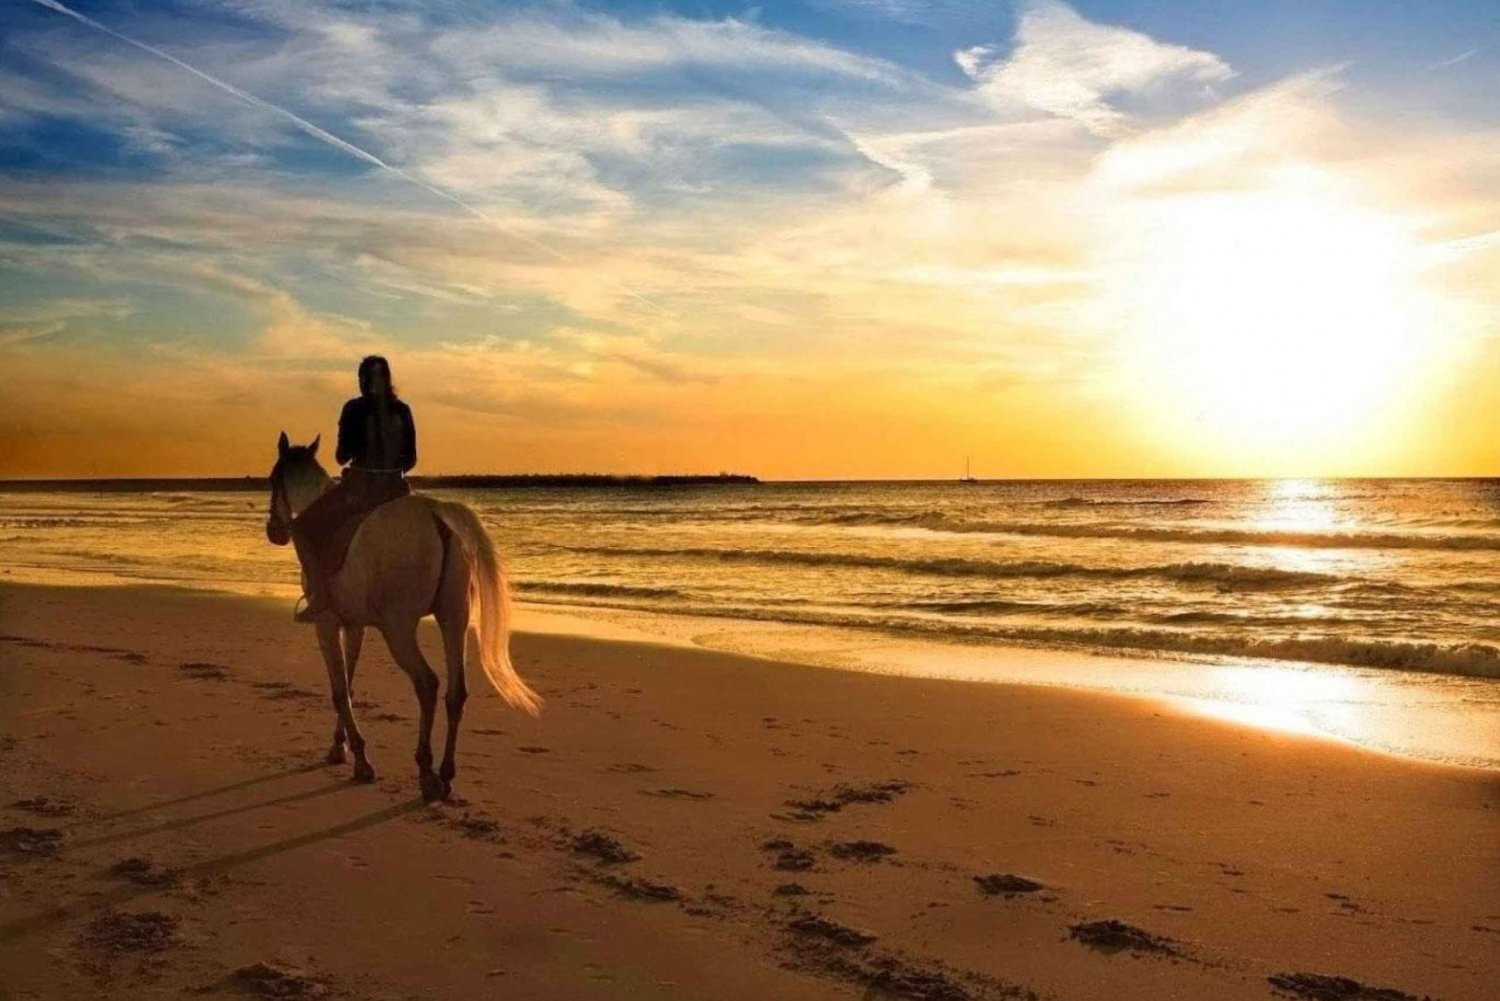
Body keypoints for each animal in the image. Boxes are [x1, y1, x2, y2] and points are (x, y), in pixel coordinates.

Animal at [267, 429, 543, 798]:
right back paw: (446, 773)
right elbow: (348, 685)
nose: (274, 531)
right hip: (453, 619)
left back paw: (426, 771)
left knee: (427, 683)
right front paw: (340, 747)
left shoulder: (326, 625)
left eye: (272, 479)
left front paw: (360, 760)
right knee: (456, 691)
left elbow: (339, 690)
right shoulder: (354, 626)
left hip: (399, 629)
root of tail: (437, 515)